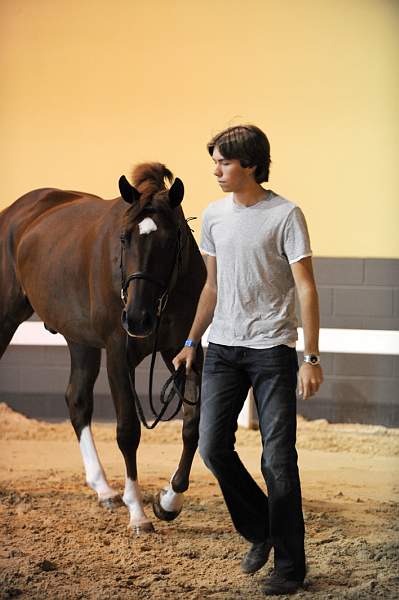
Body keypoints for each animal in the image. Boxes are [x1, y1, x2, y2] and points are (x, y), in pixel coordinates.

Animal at [0, 163, 206, 536]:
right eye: (124, 238)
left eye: (171, 240)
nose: (137, 318)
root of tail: (15, 212)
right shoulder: (117, 355)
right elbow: (128, 431)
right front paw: (138, 512)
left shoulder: (183, 351)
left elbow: (192, 424)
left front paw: (169, 501)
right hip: (6, 317)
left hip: (80, 340)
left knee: (77, 400)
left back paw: (104, 489)